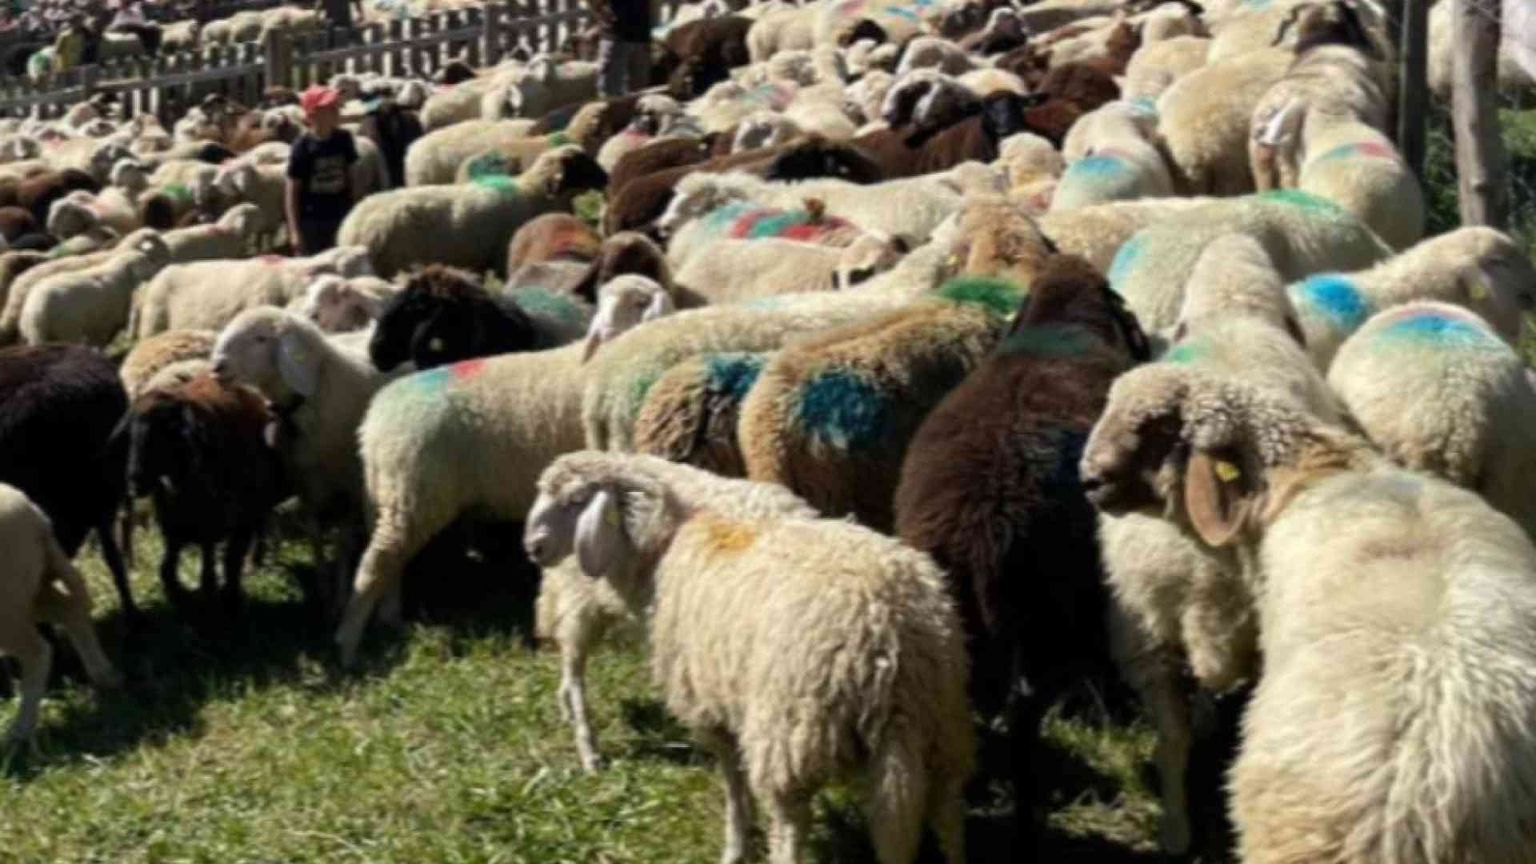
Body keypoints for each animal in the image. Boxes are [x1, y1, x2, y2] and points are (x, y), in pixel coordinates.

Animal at [0, 482, 119, 749]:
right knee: (71, 609)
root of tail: (35, 514)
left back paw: (19, 733)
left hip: (10, 602)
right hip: (30, 589)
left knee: (38, 651)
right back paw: (105, 677)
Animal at [18, 231, 171, 347]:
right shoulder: (106, 323)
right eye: (149, 260)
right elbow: (100, 343)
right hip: (68, 330)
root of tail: (37, 310)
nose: (165, 267)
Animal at [123, 373, 283, 614]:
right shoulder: (174, 526)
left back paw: (253, 562)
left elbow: (222, 565)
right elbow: (168, 569)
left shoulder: (223, 519)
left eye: (163, 430)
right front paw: (179, 594)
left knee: (257, 527)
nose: (134, 482)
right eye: (130, 434)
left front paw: (229, 597)